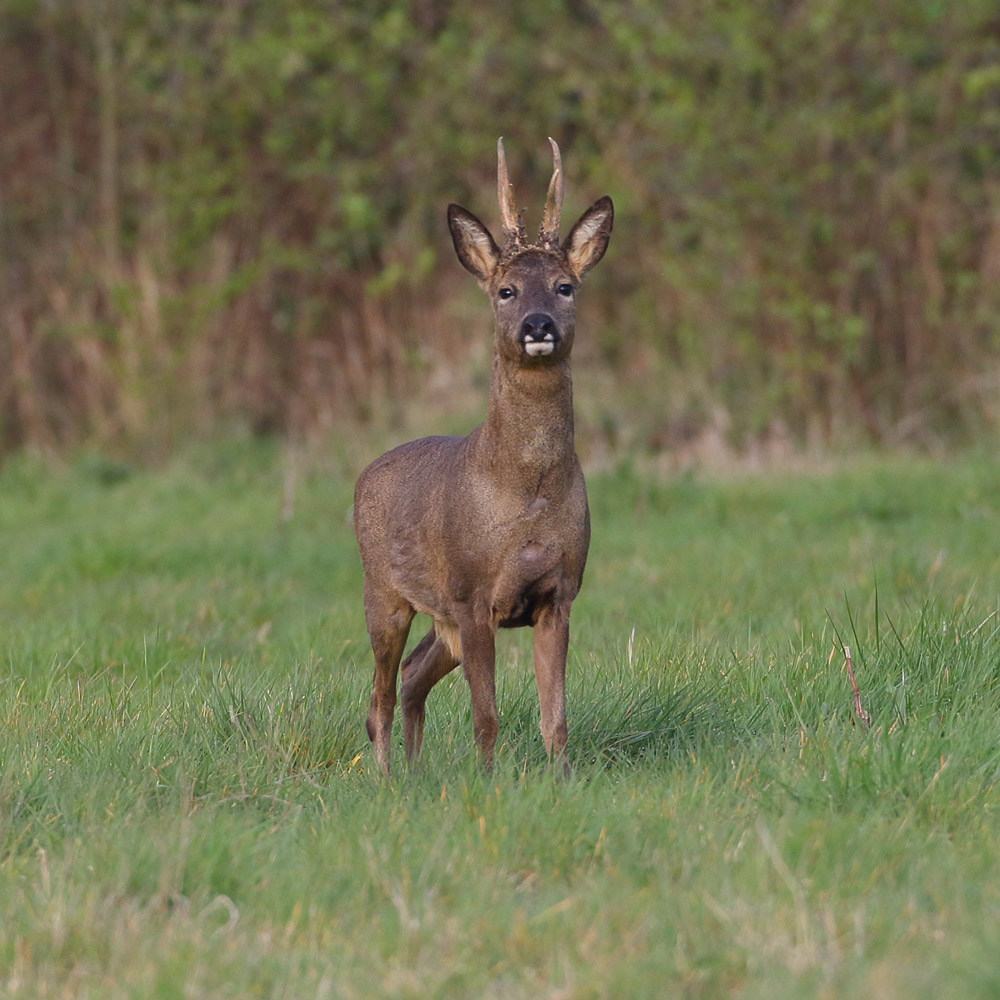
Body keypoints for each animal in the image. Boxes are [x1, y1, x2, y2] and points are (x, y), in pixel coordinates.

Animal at [356, 139, 612, 772]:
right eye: (506, 290)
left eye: (565, 285)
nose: (538, 325)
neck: (528, 493)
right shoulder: (473, 596)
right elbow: (486, 715)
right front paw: (486, 781)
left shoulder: (558, 594)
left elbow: (556, 719)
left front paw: (561, 780)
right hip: (384, 592)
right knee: (378, 698)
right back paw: (385, 779)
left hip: (440, 616)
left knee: (411, 676)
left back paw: (414, 772)